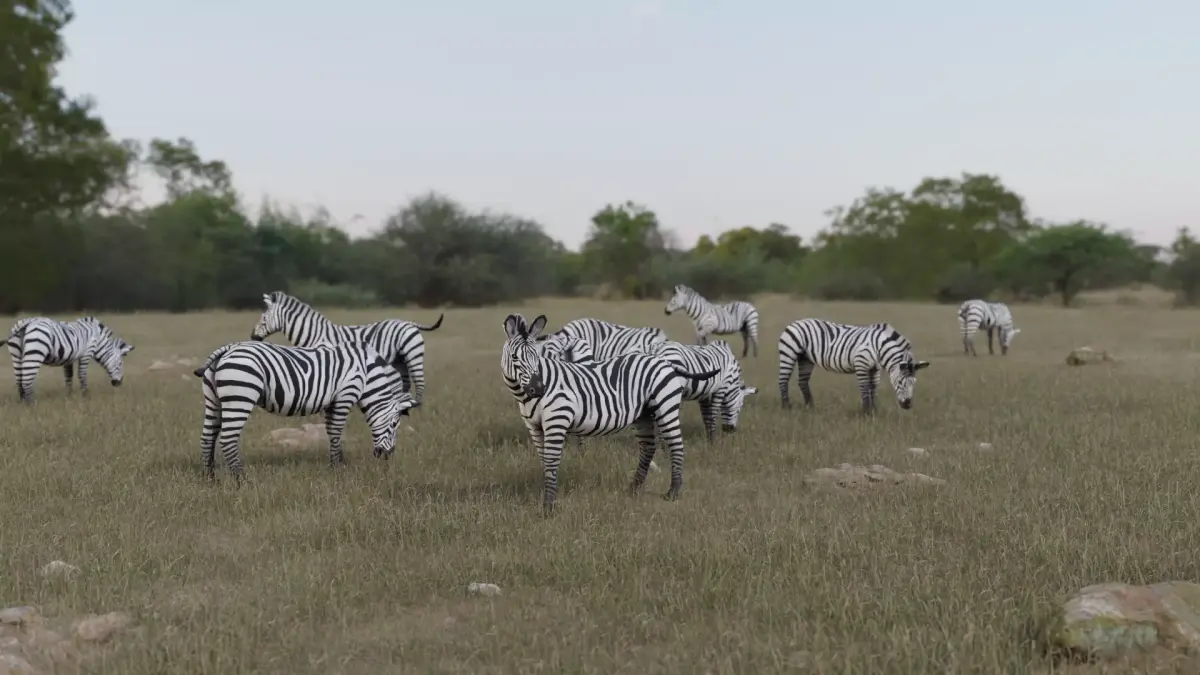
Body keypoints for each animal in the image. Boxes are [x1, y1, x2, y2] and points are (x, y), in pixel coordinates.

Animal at [191, 340, 419, 481]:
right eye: (394, 424)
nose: (387, 456)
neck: (365, 375)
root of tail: (229, 348)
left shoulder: (331, 402)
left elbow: (331, 432)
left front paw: (338, 463)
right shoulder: (345, 395)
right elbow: (336, 432)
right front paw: (338, 469)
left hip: (213, 400)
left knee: (207, 437)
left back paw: (211, 478)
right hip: (240, 397)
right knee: (228, 439)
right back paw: (241, 480)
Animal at [250, 291, 443, 403]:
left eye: (263, 319)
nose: (253, 337)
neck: (315, 334)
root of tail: (409, 323)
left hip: (413, 355)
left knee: (420, 382)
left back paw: (417, 408)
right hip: (399, 360)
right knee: (406, 383)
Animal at [777, 318, 930, 413]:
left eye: (914, 382)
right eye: (900, 382)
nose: (907, 405)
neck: (879, 348)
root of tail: (795, 322)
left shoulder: (874, 369)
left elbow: (873, 389)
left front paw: (874, 411)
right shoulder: (861, 364)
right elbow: (864, 388)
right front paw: (865, 412)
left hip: (806, 359)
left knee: (802, 381)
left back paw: (810, 407)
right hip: (789, 353)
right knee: (782, 380)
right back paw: (786, 407)